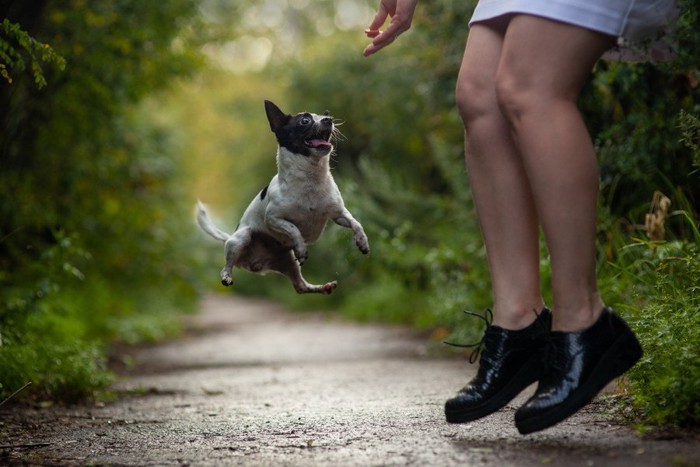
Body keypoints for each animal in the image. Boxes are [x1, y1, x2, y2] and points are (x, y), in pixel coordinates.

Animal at [196, 100, 370, 294]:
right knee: (227, 265)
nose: (329, 119)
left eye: (324, 115)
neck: (311, 179)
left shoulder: (339, 214)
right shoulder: (274, 218)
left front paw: (362, 241)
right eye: (305, 121)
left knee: (301, 287)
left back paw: (324, 287)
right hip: (241, 238)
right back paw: (227, 276)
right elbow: (293, 229)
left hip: (289, 262)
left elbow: (356, 223)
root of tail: (255, 264)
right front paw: (301, 247)